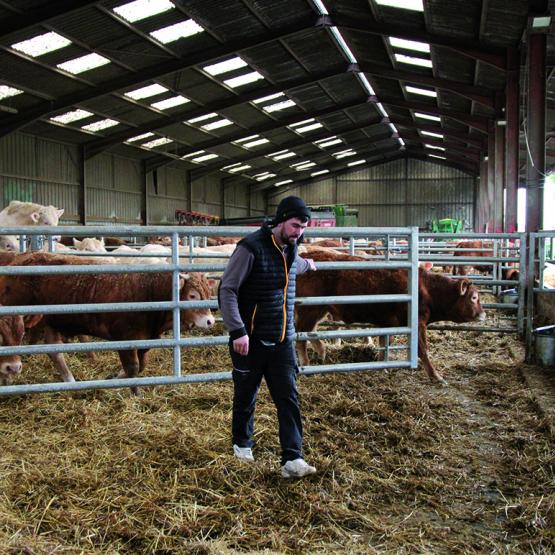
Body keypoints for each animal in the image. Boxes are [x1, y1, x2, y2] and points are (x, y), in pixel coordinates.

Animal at [0, 252, 215, 396]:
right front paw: (136, 395)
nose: (211, 320)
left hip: (50, 322)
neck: (150, 291)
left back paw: (70, 381)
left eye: (207, 293)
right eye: (192, 295)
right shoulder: (126, 338)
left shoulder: (146, 339)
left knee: (55, 352)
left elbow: (140, 366)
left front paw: (111, 378)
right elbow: (133, 368)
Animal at [298, 250, 484, 384]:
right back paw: (306, 363)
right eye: (474, 297)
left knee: (310, 331)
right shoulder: (417, 324)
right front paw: (436, 376)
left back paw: (321, 352)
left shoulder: (389, 323)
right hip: (310, 309)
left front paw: (383, 366)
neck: (426, 289)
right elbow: (422, 350)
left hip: (318, 310)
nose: (483, 314)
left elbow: (385, 343)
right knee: (301, 335)